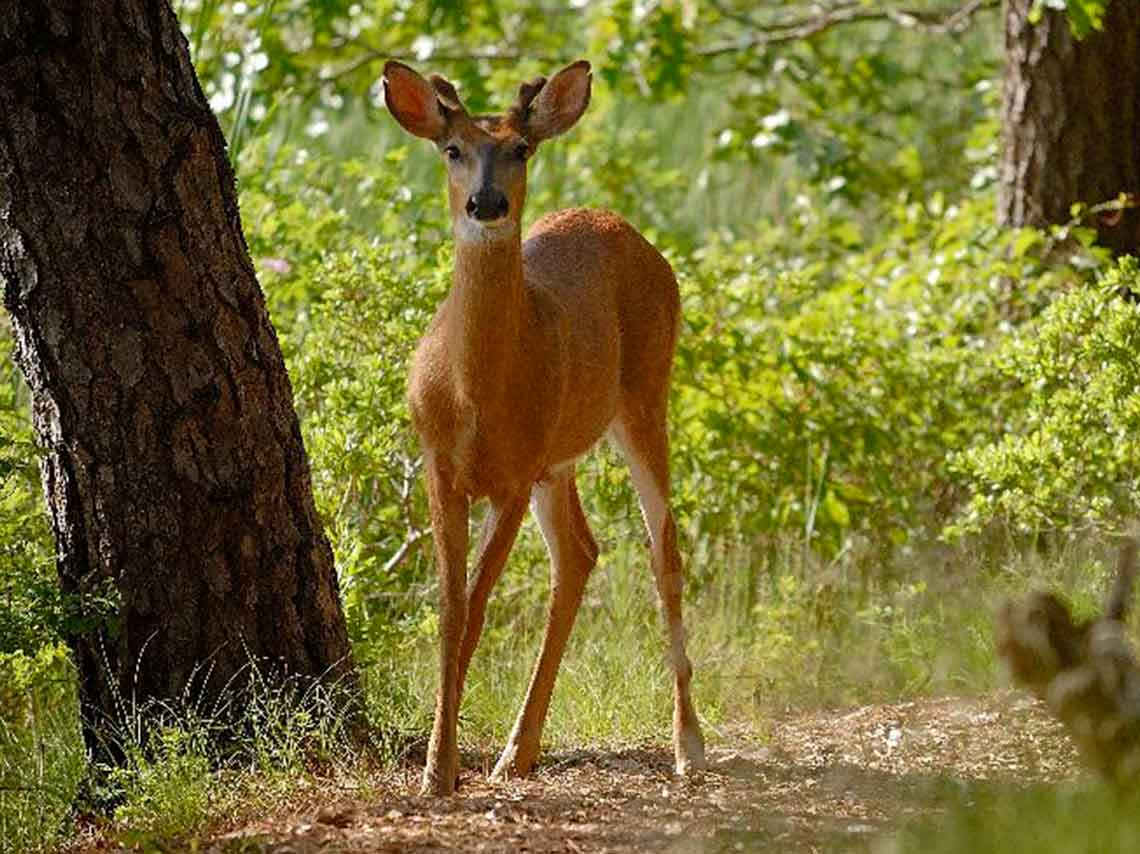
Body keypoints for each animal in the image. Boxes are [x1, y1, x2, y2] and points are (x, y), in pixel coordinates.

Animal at [383, 58, 702, 793]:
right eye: (453, 149)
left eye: (521, 150)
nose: (487, 204)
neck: (475, 395)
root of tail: (623, 226)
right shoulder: (440, 462)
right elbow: (451, 609)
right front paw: (439, 766)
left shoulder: (513, 474)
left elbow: (473, 608)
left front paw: (441, 767)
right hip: (559, 457)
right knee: (581, 552)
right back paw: (517, 751)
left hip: (643, 395)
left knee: (664, 548)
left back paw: (688, 747)